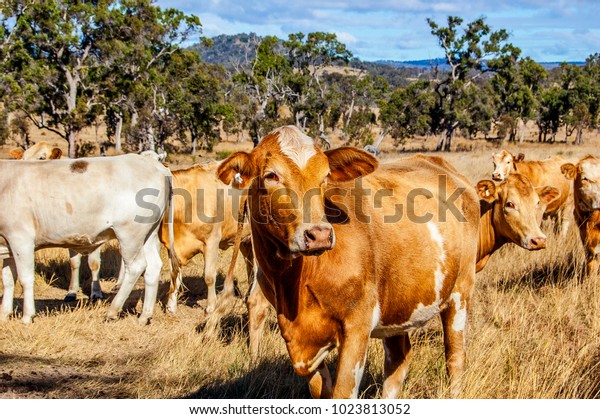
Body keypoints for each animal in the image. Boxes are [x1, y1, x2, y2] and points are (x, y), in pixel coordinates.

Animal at [0, 154, 177, 324]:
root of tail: (155, 165)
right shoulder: (7, 246)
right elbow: (8, 280)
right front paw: (4, 314)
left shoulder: (20, 239)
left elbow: (25, 279)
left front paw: (27, 316)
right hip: (148, 235)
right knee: (153, 267)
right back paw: (145, 316)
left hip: (129, 234)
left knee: (136, 267)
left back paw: (112, 311)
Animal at [218, 125, 480, 400]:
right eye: (271, 175)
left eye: (325, 177)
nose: (320, 234)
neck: (294, 285)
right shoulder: (303, 344)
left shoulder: (357, 326)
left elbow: (342, 393)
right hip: (399, 302)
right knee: (399, 358)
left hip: (460, 293)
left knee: (454, 357)